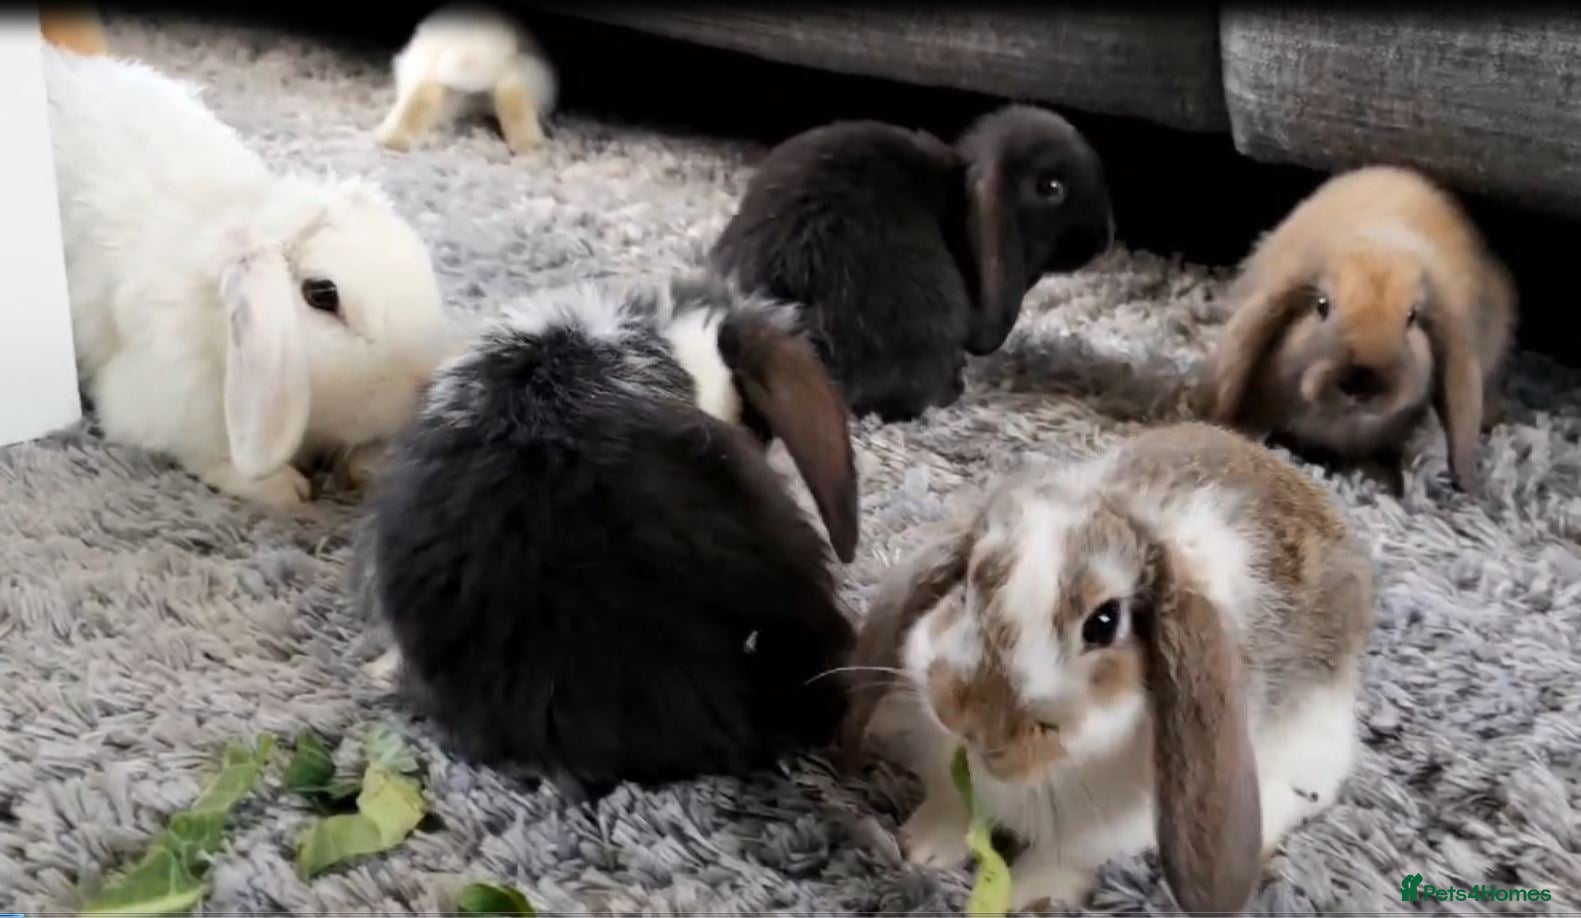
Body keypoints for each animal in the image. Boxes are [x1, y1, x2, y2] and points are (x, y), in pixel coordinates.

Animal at [839, 422, 1376, 914]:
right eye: (967, 586)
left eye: (1103, 623)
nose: (969, 718)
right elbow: (950, 804)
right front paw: (923, 850)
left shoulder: (1106, 829)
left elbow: (1062, 859)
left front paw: (1031, 900)